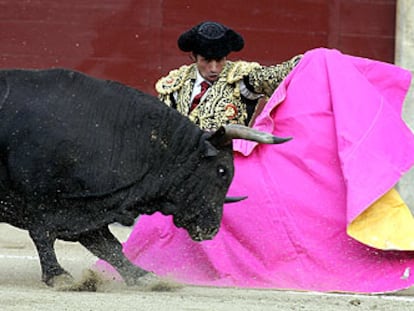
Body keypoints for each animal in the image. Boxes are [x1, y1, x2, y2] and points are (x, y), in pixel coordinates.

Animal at [0, 69, 292, 288]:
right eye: (222, 171)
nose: (211, 229)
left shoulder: (88, 207)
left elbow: (108, 246)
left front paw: (143, 276)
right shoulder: (41, 199)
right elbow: (43, 234)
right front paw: (59, 276)